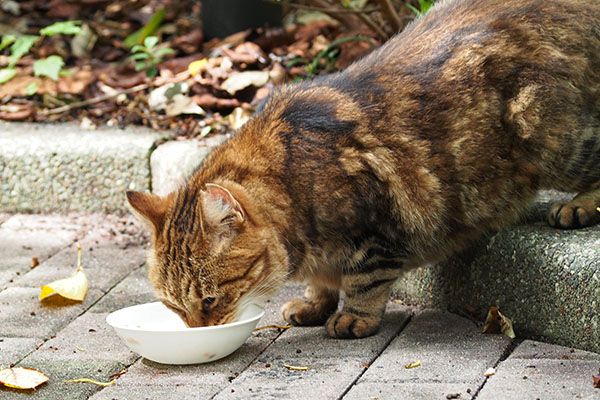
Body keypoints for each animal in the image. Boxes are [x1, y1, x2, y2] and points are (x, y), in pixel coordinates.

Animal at [126, 0, 600, 340]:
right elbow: (322, 285)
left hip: (549, 136)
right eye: (174, 308)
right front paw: (313, 304)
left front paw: (352, 317)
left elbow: (364, 282)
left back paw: (578, 207)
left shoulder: (376, 232)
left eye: (209, 301)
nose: (197, 331)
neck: (293, 187)